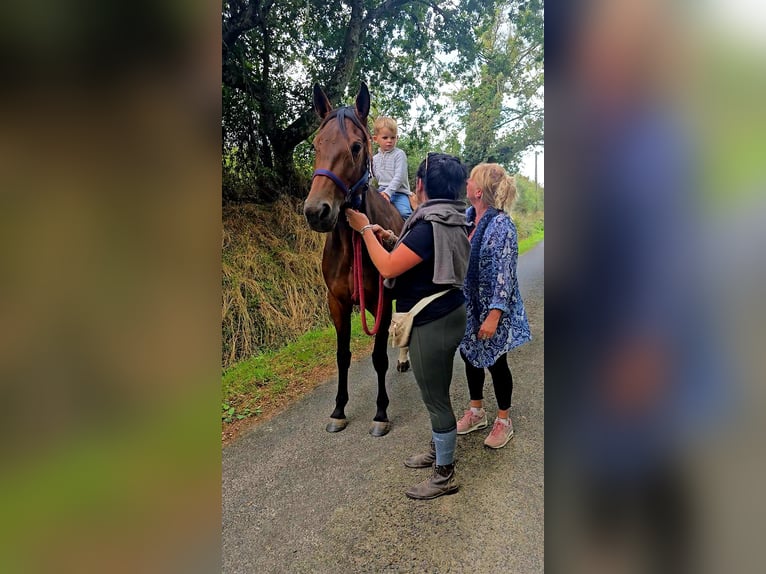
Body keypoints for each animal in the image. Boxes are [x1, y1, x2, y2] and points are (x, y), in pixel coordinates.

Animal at [304, 83, 408, 438]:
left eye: (356, 145)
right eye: (316, 145)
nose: (316, 211)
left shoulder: (381, 300)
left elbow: (378, 357)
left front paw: (380, 413)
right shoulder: (336, 303)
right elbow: (342, 355)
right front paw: (338, 410)